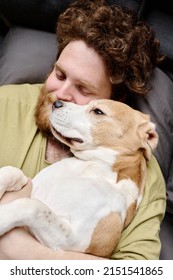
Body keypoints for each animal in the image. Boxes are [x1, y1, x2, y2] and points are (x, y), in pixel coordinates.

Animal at [0, 99, 157, 258]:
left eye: (98, 111)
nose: (56, 103)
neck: (90, 168)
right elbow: (12, 172)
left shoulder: (73, 240)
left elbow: (34, 206)